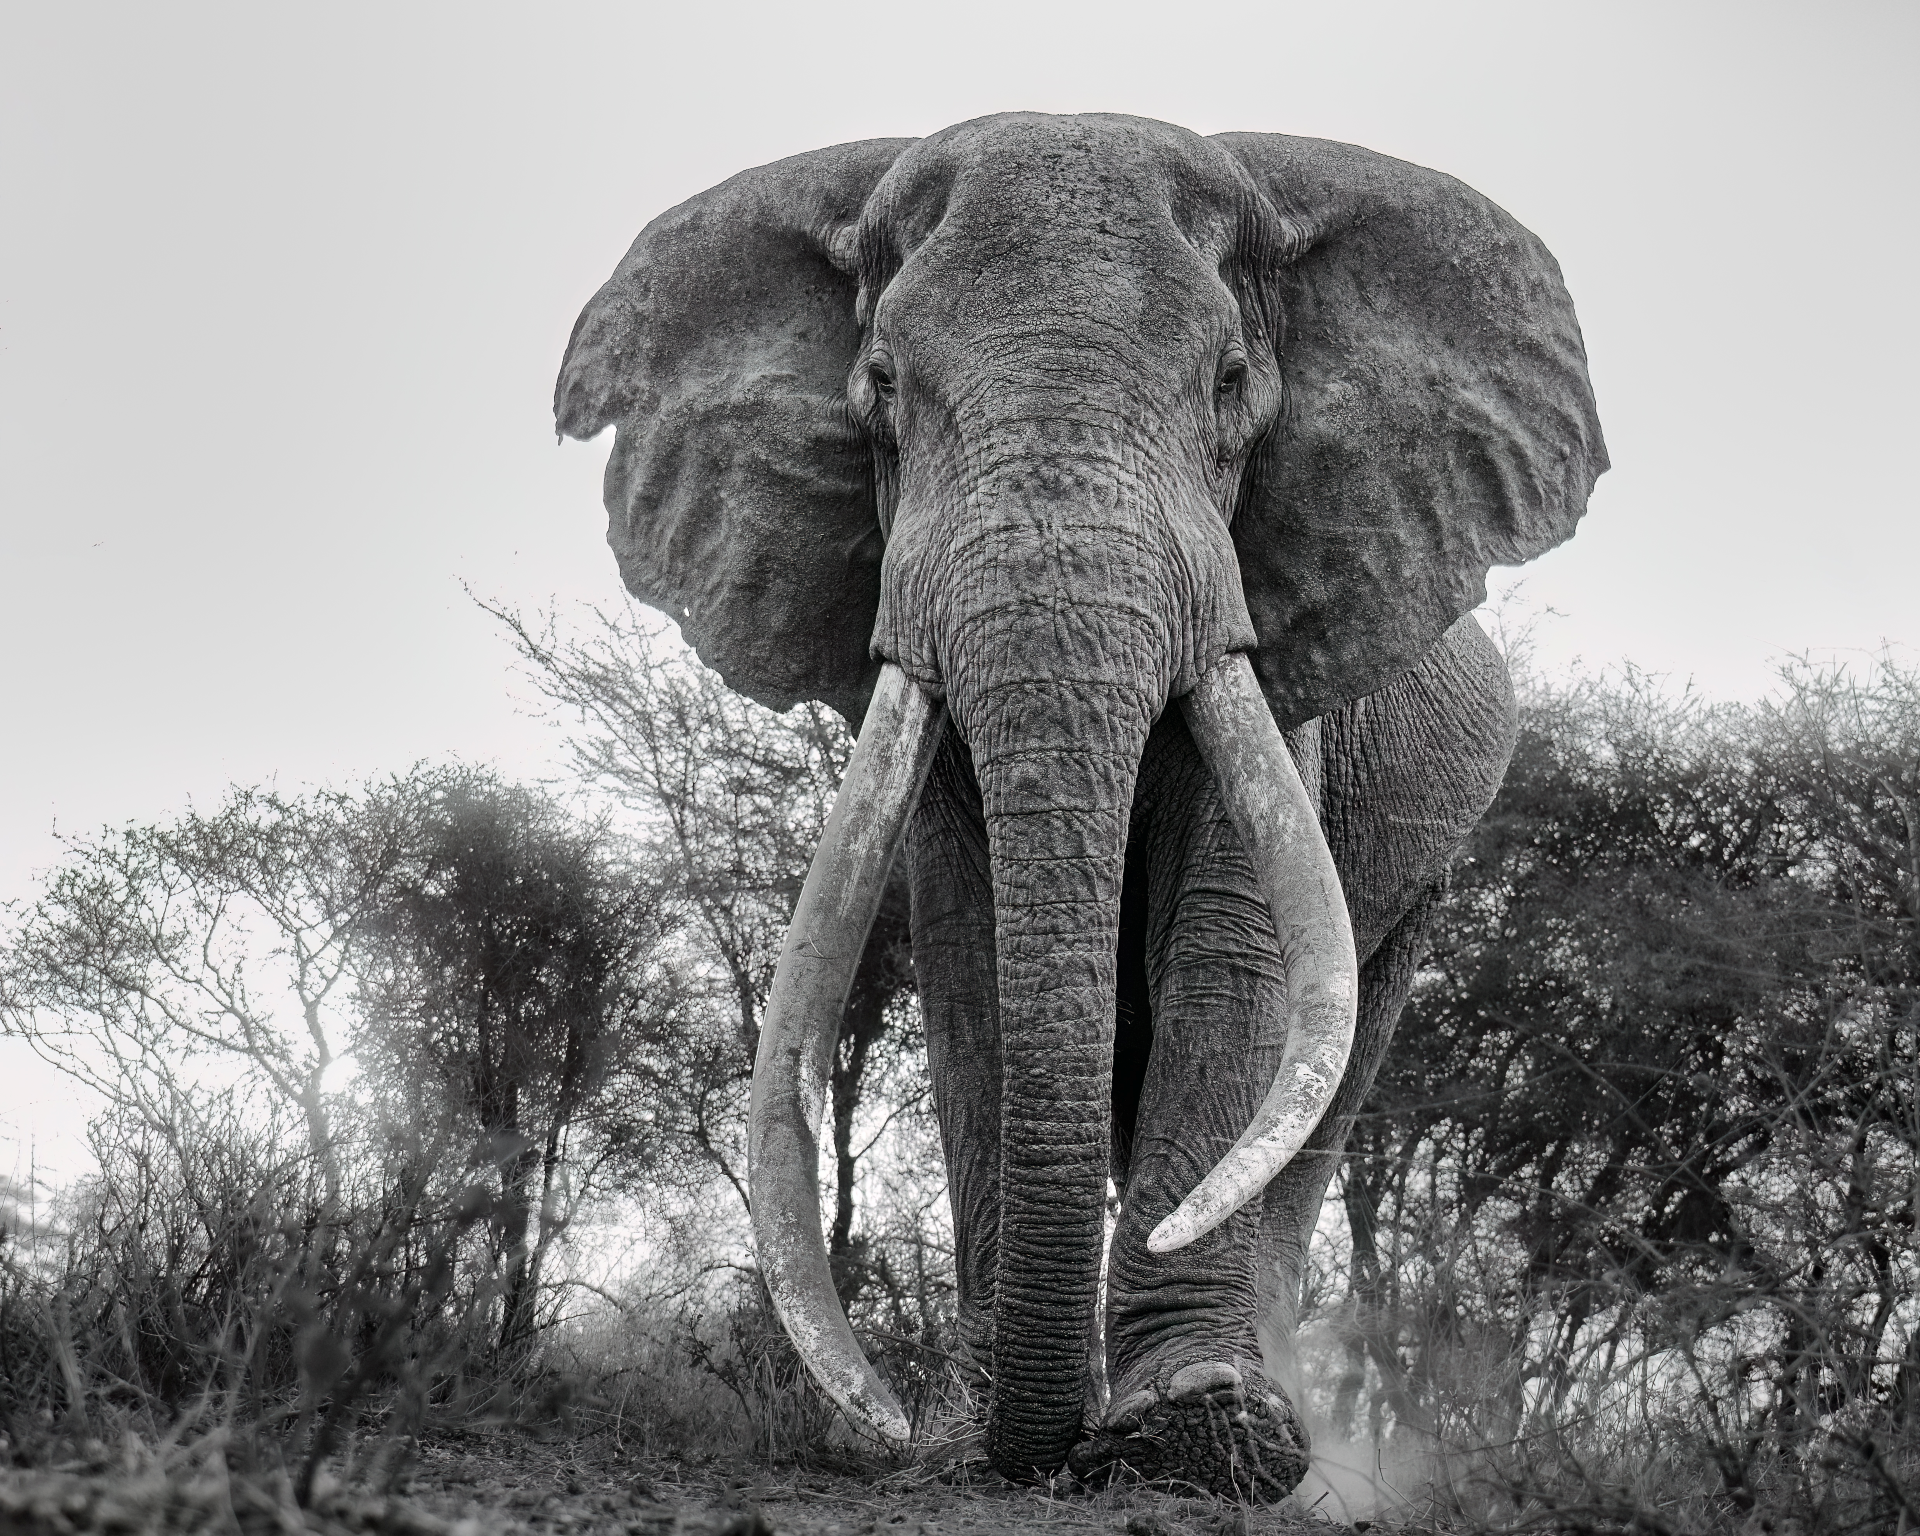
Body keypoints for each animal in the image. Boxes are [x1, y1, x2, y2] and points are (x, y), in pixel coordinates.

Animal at [554, 112, 1605, 1498]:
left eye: (1230, 383)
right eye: (882, 384)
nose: (1027, 1446)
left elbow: (1231, 954)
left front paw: (1196, 1431)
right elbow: (972, 954)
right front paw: (978, 1432)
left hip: (1425, 877)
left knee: (1333, 1084)